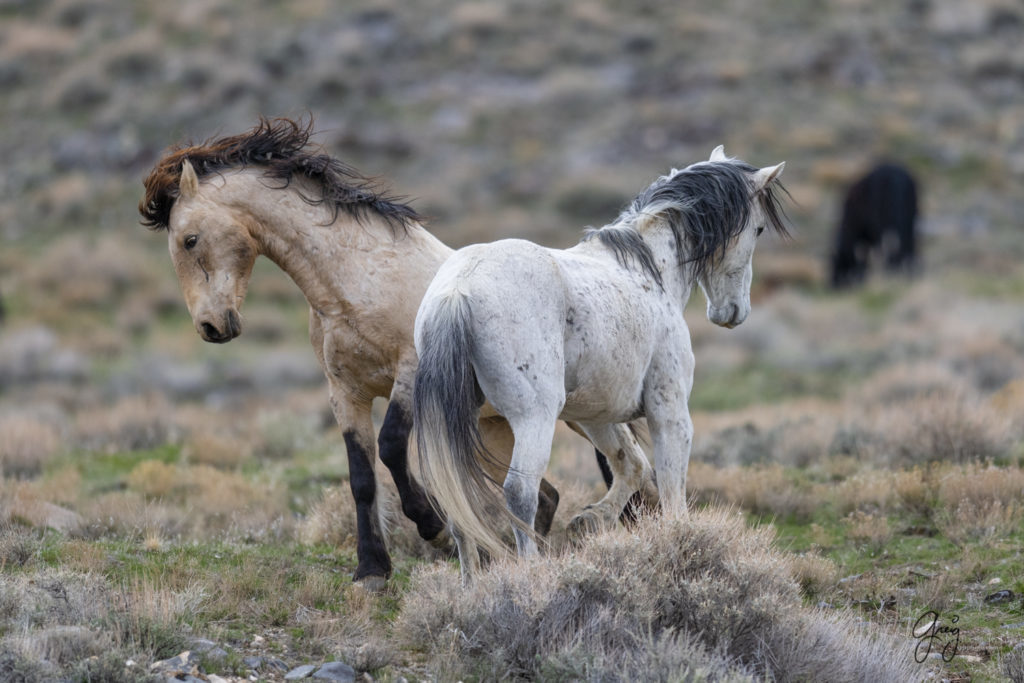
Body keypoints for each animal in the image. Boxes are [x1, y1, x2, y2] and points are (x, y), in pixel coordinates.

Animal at [411, 148, 786, 577]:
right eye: (758, 229)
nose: (732, 312)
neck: (650, 270)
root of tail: (458, 290)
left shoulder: (596, 414)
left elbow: (631, 465)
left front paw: (589, 521)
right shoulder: (670, 411)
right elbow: (672, 493)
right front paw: (680, 545)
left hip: (467, 422)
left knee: (456, 500)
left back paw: (472, 586)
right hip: (534, 417)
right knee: (520, 494)